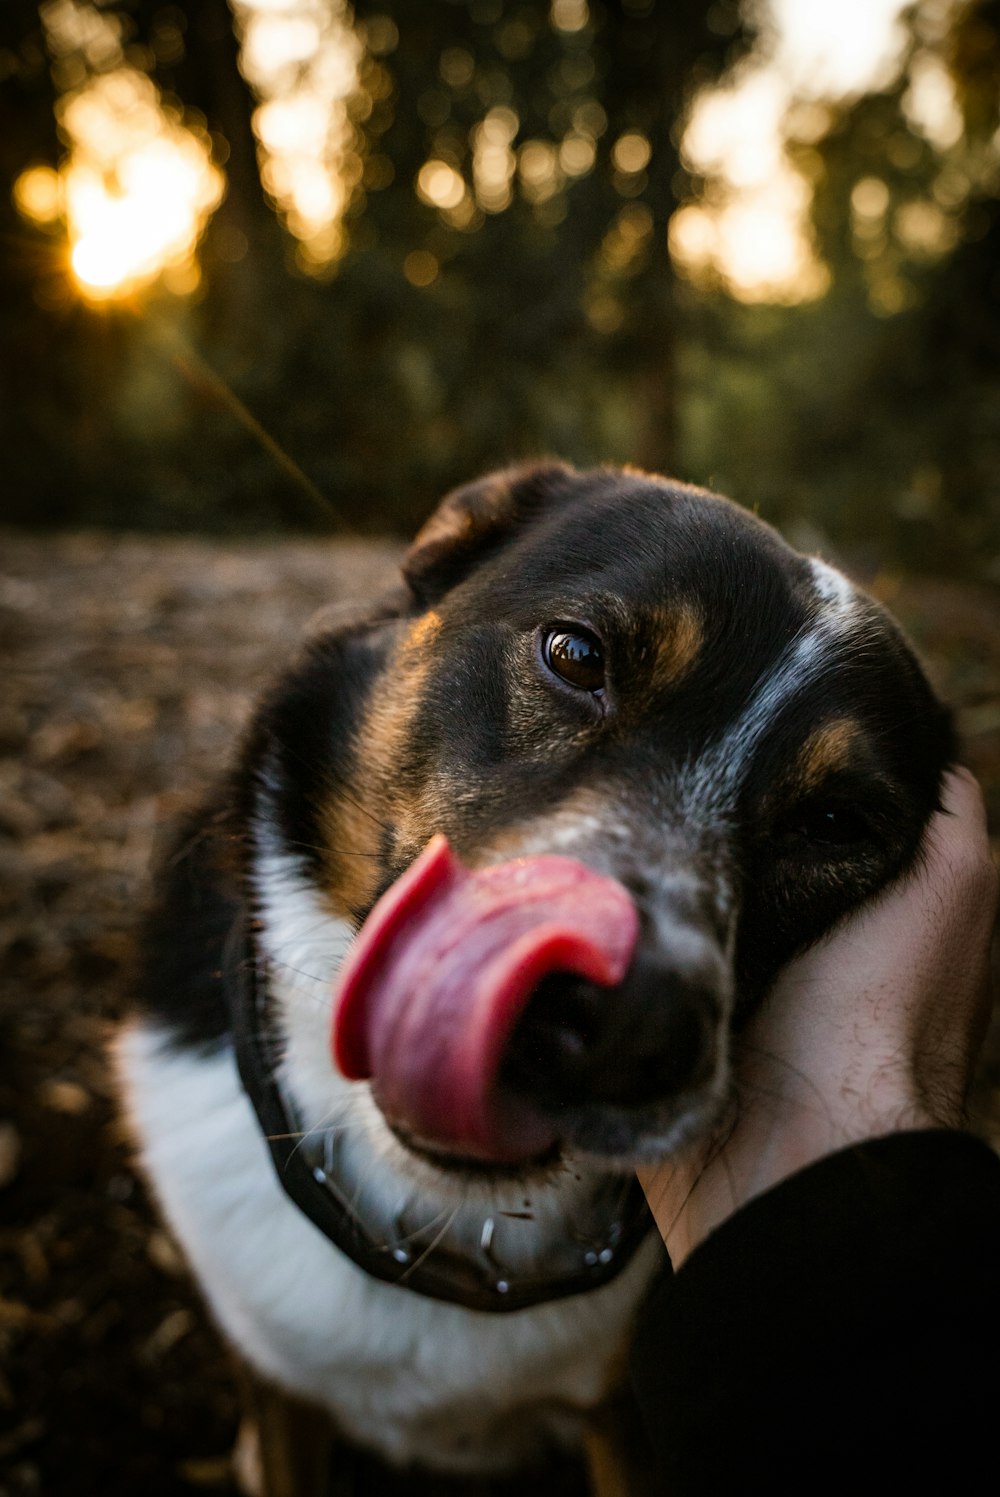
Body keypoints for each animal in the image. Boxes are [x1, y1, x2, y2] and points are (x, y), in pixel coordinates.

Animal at [113, 461, 952, 1491]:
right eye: (577, 656)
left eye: (836, 823)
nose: (624, 1025)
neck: (445, 1220)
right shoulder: (279, 1392)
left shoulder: (623, 1424)